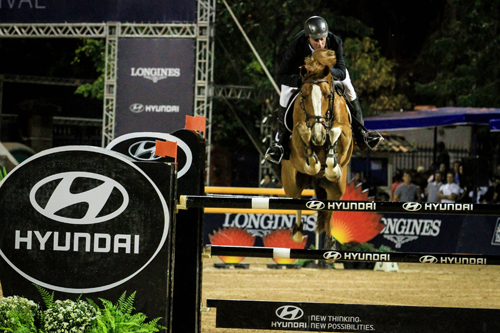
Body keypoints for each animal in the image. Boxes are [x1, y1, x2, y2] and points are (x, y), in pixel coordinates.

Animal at [282, 48, 356, 248]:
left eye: (327, 95)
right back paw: (298, 232)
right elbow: (310, 157)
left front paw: (332, 166)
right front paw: (308, 136)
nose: (318, 135)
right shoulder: (296, 142)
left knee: (330, 208)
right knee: (296, 197)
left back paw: (330, 244)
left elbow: (337, 132)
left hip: (337, 188)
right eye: (304, 96)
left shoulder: (346, 134)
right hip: (291, 181)